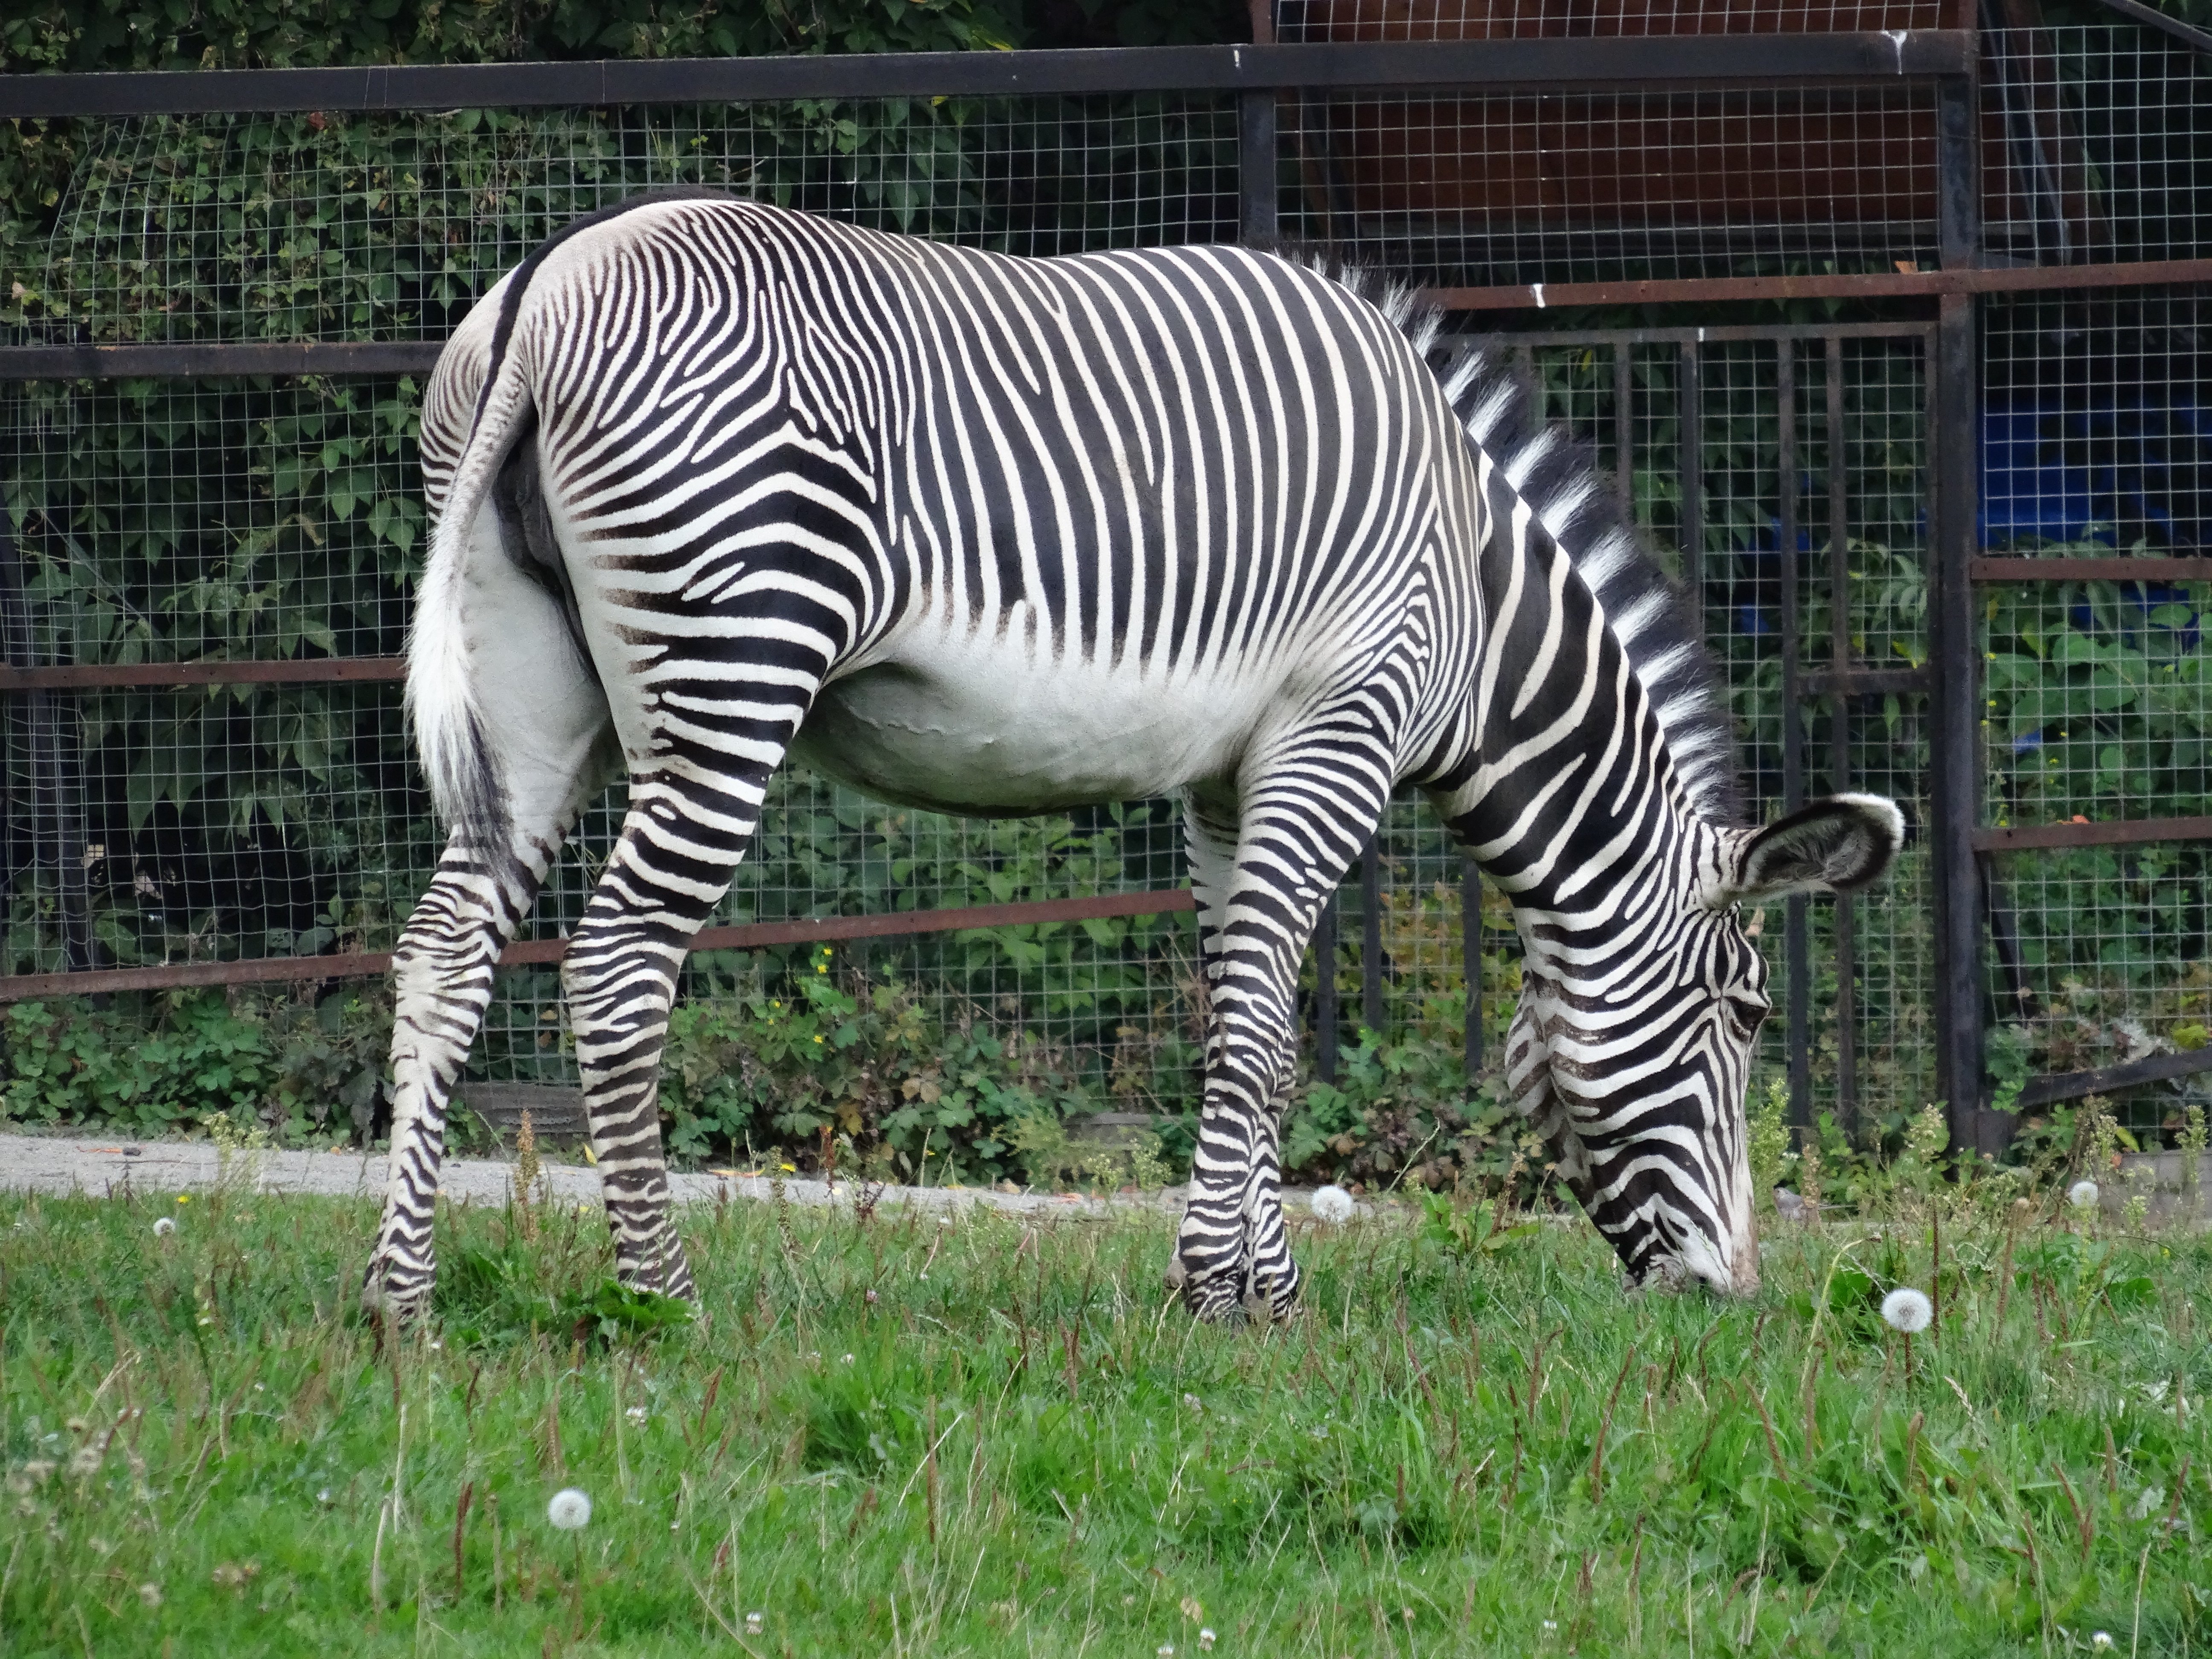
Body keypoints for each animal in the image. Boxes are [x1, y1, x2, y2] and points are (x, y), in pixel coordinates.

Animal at [367, 195, 1902, 1336]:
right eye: (1749, 1012)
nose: (1728, 1298)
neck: (1474, 600)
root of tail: (547, 289)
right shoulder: (1337, 730)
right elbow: (1269, 1027)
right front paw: (1211, 1289)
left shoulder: (1227, 780)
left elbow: (1248, 1028)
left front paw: (1263, 1291)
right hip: (733, 660)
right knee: (620, 963)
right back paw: (662, 1298)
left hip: (535, 692)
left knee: (444, 943)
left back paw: (404, 1301)